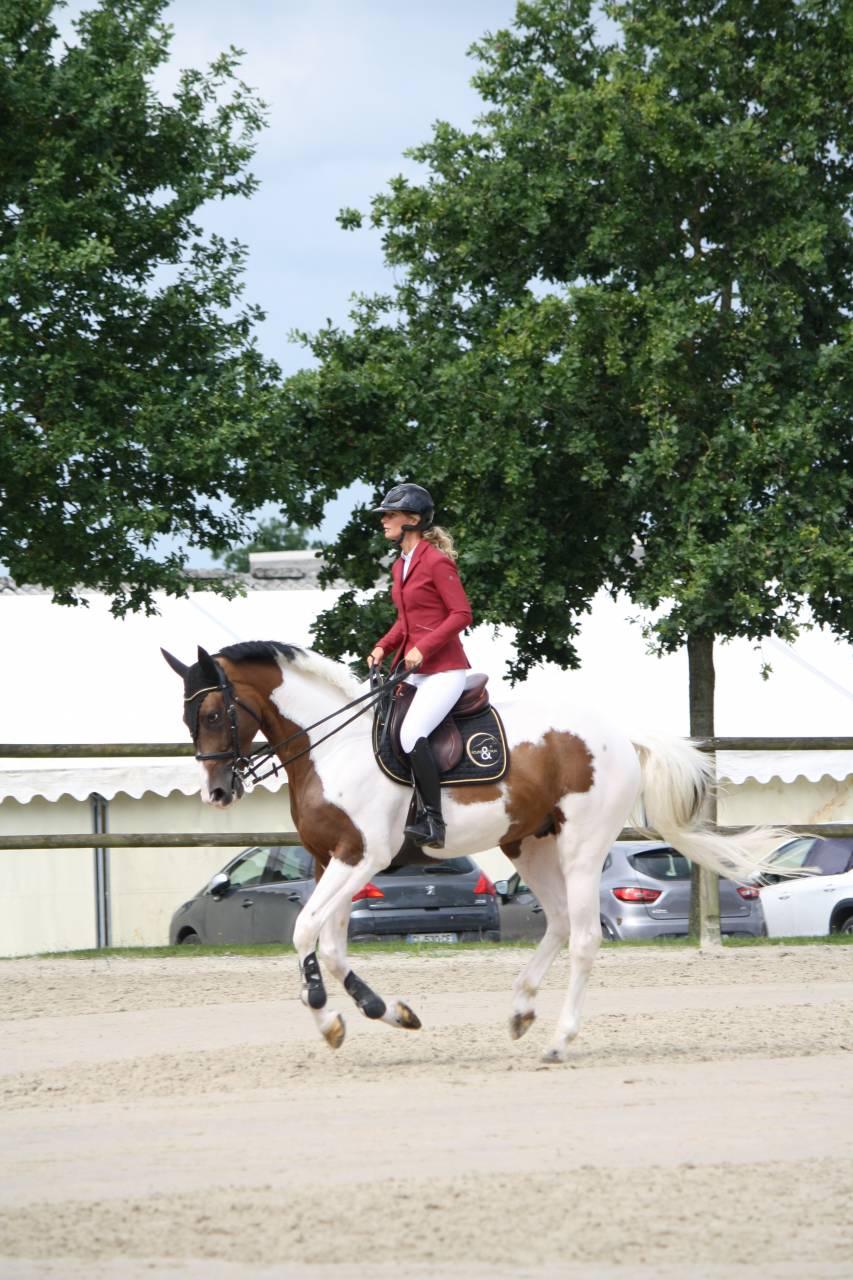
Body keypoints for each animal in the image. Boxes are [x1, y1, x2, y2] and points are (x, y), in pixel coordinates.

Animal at [162, 640, 787, 1063]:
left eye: (214, 714)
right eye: (189, 717)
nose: (217, 794)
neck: (331, 746)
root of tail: (618, 736)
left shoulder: (360, 856)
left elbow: (304, 931)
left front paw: (325, 1015)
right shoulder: (330, 859)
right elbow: (332, 946)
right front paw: (384, 1013)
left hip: (582, 848)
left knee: (584, 937)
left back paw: (558, 1040)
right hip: (527, 843)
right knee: (559, 923)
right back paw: (521, 1010)